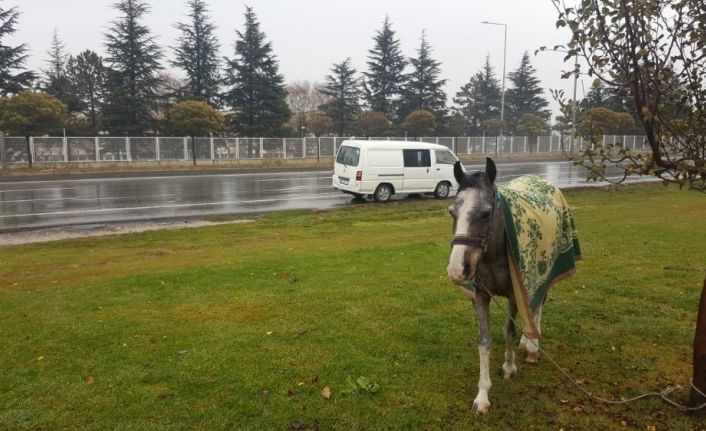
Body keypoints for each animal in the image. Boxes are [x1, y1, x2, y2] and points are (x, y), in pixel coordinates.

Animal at [446, 159, 576, 416]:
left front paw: (509, 367)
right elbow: (484, 340)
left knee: (538, 305)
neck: (494, 252)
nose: (457, 269)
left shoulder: (515, 294)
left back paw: (533, 346)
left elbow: (508, 331)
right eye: (452, 212)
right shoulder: (481, 296)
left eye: (486, 213)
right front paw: (482, 395)